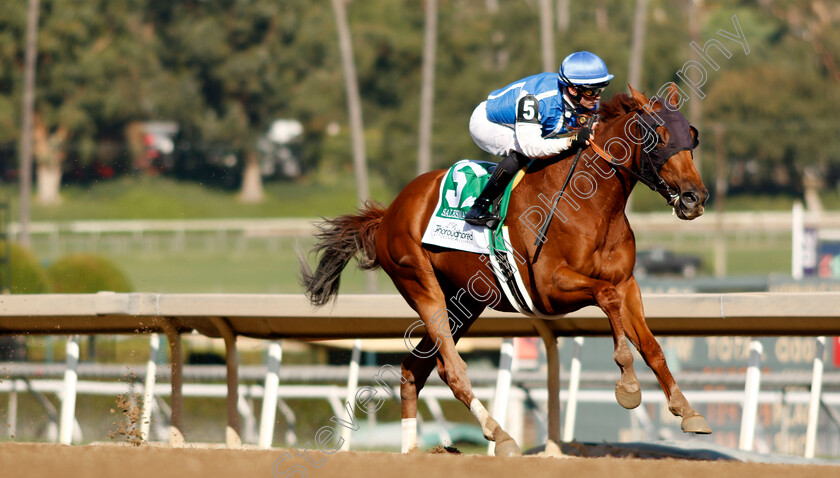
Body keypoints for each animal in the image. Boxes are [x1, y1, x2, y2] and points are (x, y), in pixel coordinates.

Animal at [300, 86, 708, 456]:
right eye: (659, 136)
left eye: (692, 136)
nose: (695, 198)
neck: (593, 205)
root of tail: (389, 213)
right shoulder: (549, 287)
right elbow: (606, 300)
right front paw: (627, 385)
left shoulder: (627, 283)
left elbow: (651, 345)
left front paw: (687, 411)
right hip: (420, 283)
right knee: (451, 368)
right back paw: (500, 435)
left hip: (464, 301)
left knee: (414, 368)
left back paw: (413, 451)